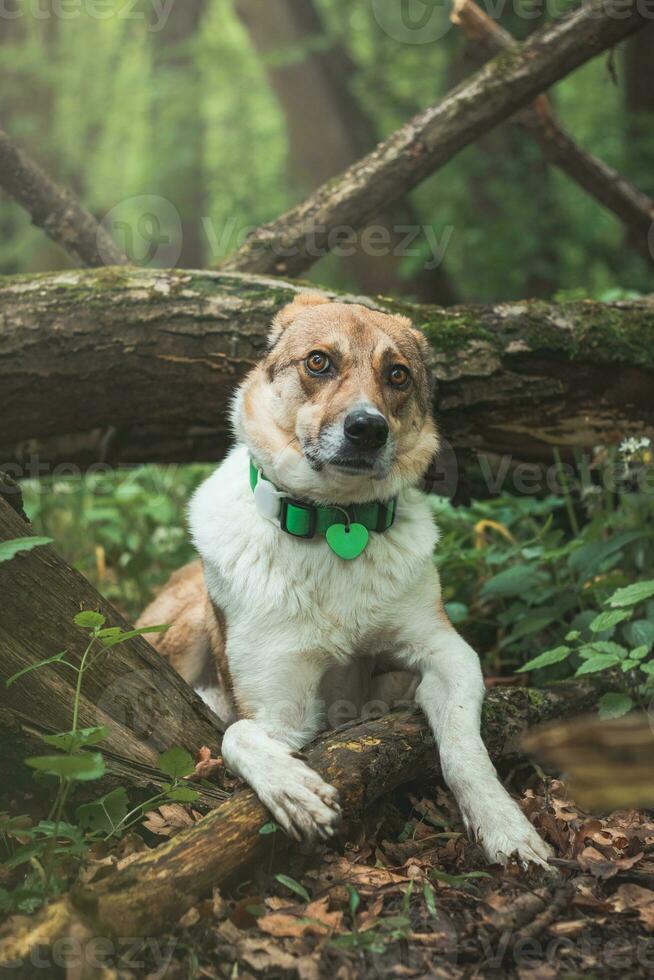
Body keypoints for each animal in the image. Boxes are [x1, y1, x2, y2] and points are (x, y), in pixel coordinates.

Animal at [138, 292, 552, 864]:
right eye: (318, 362)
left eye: (398, 375)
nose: (367, 429)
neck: (336, 521)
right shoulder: (280, 707)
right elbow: (237, 732)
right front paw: (293, 790)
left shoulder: (448, 652)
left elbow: (465, 748)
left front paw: (506, 828)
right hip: (181, 631)